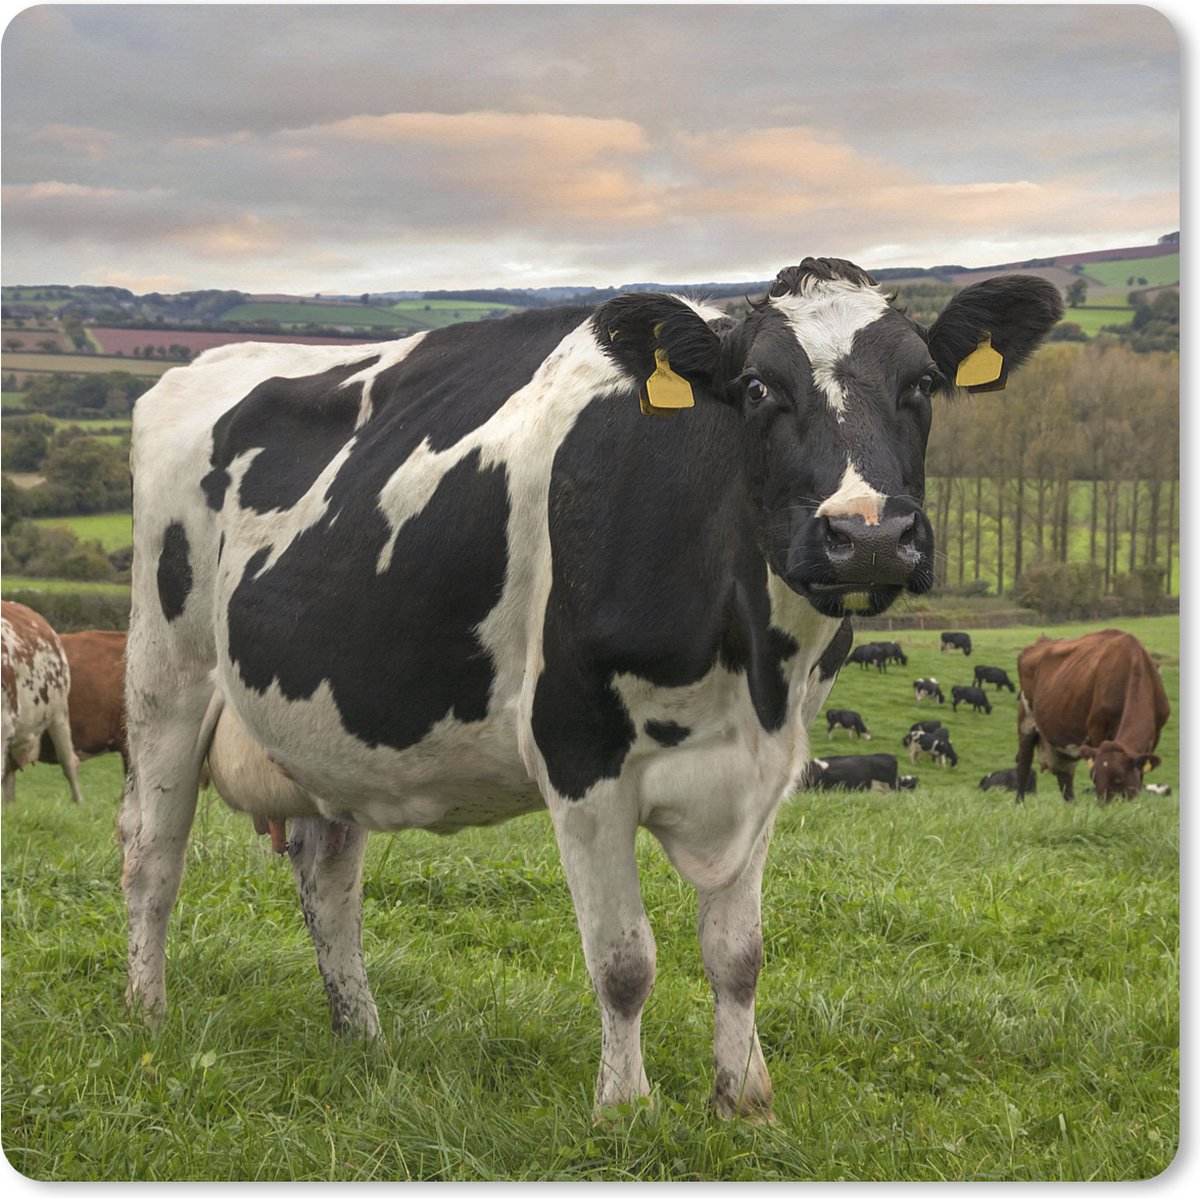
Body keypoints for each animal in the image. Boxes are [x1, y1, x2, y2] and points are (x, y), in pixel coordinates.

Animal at [118, 255, 1060, 1119]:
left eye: (924, 383)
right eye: (758, 387)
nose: (865, 536)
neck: (749, 662)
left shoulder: (770, 765)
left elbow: (739, 954)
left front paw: (743, 1101)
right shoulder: (579, 756)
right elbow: (624, 961)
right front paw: (624, 1108)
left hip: (328, 732)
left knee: (329, 875)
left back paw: (363, 1037)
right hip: (164, 675)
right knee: (152, 854)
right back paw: (147, 1017)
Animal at [1014, 629, 1168, 804]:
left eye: (1119, 779)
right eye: (1094, 778)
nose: (1104, 806)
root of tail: (1042, 641)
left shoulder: (1156, 733)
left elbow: (1141, 773)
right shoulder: (1097, 728)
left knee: (1065, 775)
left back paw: (1071, 806)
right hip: (1026, 721)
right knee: (1023, 766)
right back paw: (1019, 804)